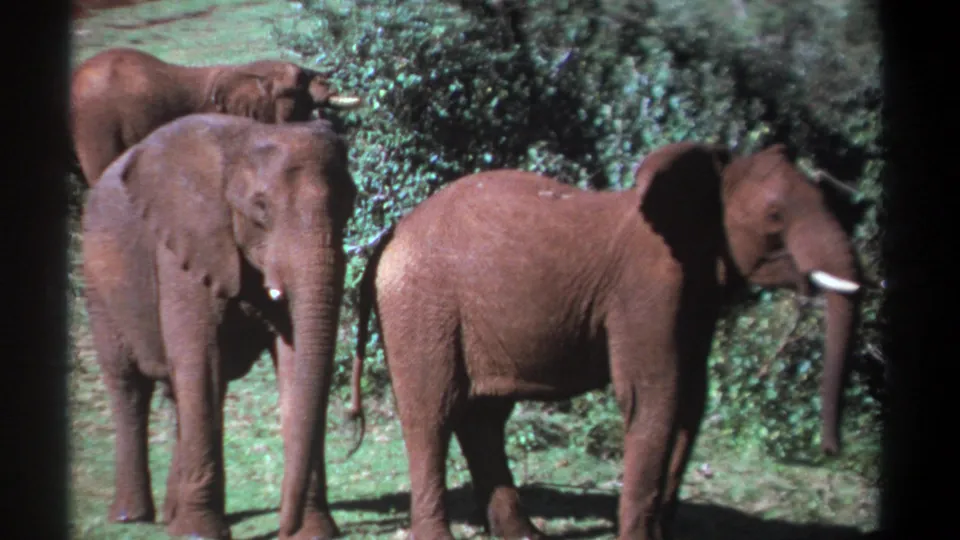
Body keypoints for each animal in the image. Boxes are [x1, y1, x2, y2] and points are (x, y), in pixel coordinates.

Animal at [81, 112, 358, 540]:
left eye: (351, 203)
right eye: (260, 207)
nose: (284, 528)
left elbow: (293, 364)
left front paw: (314, 532)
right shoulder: (184, 245)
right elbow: (200, 360)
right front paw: (199, 533)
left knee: (180, 391)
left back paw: (172, 515)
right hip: (99, 285)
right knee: (129, 386)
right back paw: (133, 517)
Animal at [346, 142, 863, 540]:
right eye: (775, 216)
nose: (832, 450)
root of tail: (389, 237)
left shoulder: (694, 296)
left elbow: (690, 401)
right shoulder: (646, 290)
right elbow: (653, 397)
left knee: (484, 418)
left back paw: (525, 536)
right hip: (421, 307)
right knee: (433, 414)